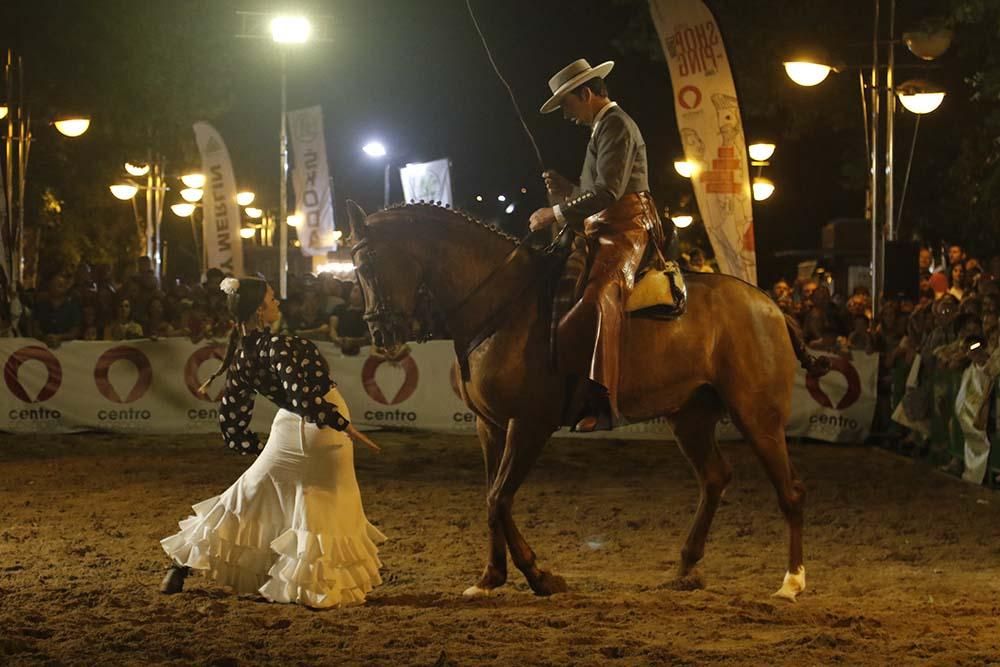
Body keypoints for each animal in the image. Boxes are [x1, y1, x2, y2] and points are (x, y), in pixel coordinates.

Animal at [348, 201, 816, 604]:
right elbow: (492, 498)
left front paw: (539, 576)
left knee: (790, 489)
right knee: (715, 477)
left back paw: (792, 581)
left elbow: (499, 497)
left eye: (367, 264)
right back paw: (686, 567)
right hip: (690, 417)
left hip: (757, 416)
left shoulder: (529, 425)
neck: (502, 306)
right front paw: (491, 577)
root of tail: (771, 305)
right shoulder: (490, 425)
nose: (380, 335)